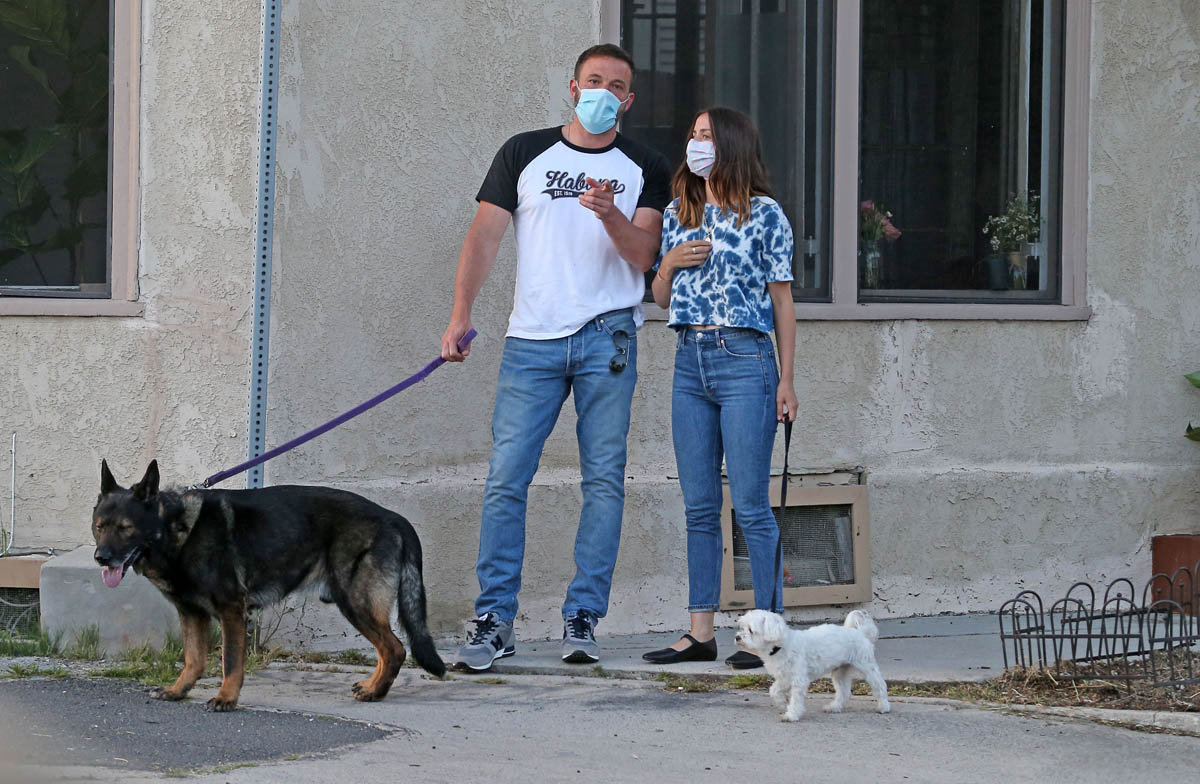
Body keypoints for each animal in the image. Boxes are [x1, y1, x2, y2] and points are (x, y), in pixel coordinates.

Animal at [91, 460, 446, 711]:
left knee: (395, 648)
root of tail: (392, 516)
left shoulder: (232, 611)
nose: (100, 558)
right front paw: (179, 691)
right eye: (100, 526)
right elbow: (194, 659)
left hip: (355, 601)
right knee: (387, 649)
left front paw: (226, 698)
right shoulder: (192, 613)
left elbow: (230, 661)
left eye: (125, 528)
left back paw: (375, 692)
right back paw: (372, 687)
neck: (174, 529)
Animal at [735, 609, 890, 721]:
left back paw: (884, 707)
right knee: (844, 692)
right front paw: (782, 703)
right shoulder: (784, 677)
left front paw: (791, 715)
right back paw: (834, 707)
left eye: (750, 630)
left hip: (867, 666)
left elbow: (796, 699)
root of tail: (859, 632)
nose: (737, 637)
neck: (780, 646)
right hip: (840, 671)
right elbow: (773, 690)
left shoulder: (799, 679)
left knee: (880, 686)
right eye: (742, 627)